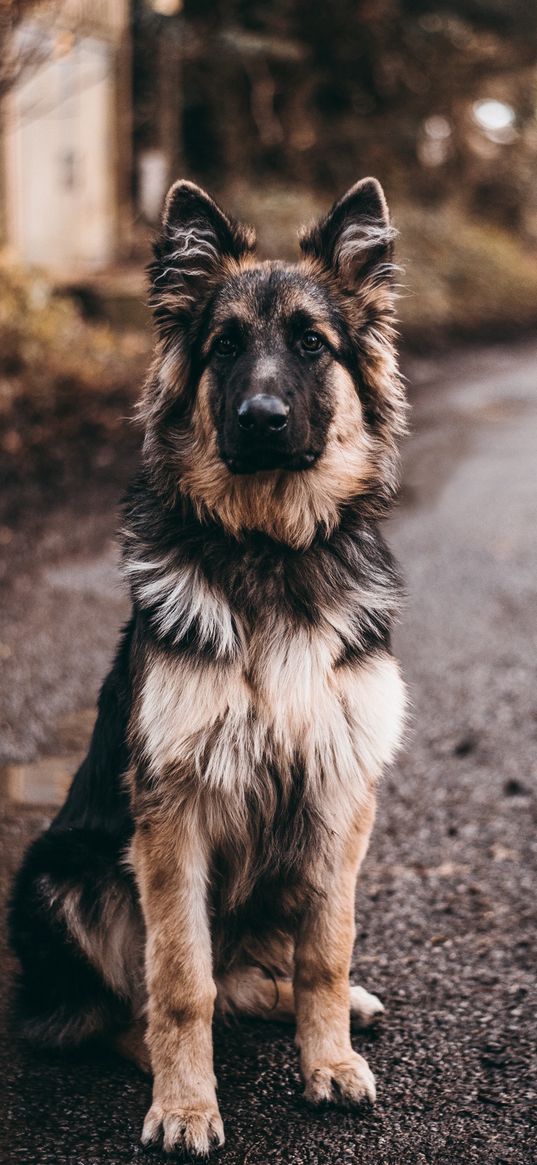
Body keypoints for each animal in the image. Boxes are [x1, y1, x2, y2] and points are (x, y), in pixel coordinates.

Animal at [9, 179, 405, 1155]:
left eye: (311, 343)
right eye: (224, 346)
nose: (260, 419)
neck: (268, 550)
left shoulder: (339, 790)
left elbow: (326, 949)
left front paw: (327, 1059)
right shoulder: (172, 812)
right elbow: (179, 978)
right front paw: (187, 1102)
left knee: (260, 974)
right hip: (61, 873)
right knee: (126, 1005)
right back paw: (152, 1054)